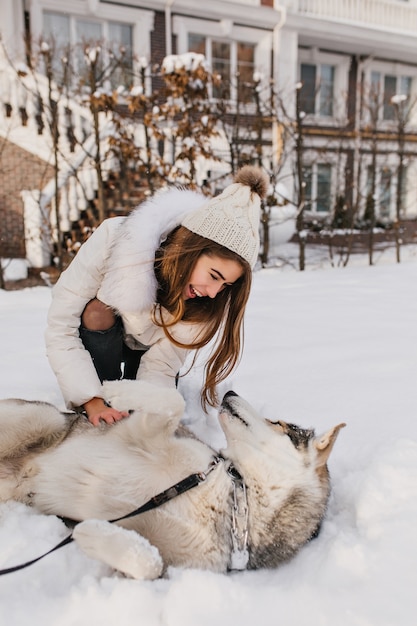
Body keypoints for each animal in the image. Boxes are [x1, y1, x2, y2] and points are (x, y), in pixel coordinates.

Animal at [0, 378, 344, 576]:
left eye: (279, 423)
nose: (230, 392)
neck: (234, 495)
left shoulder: (165, 564)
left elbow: (149, 563)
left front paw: (91, 533)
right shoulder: (143, 433)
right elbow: (172, 402)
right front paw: (121, 390)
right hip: (39, 418)